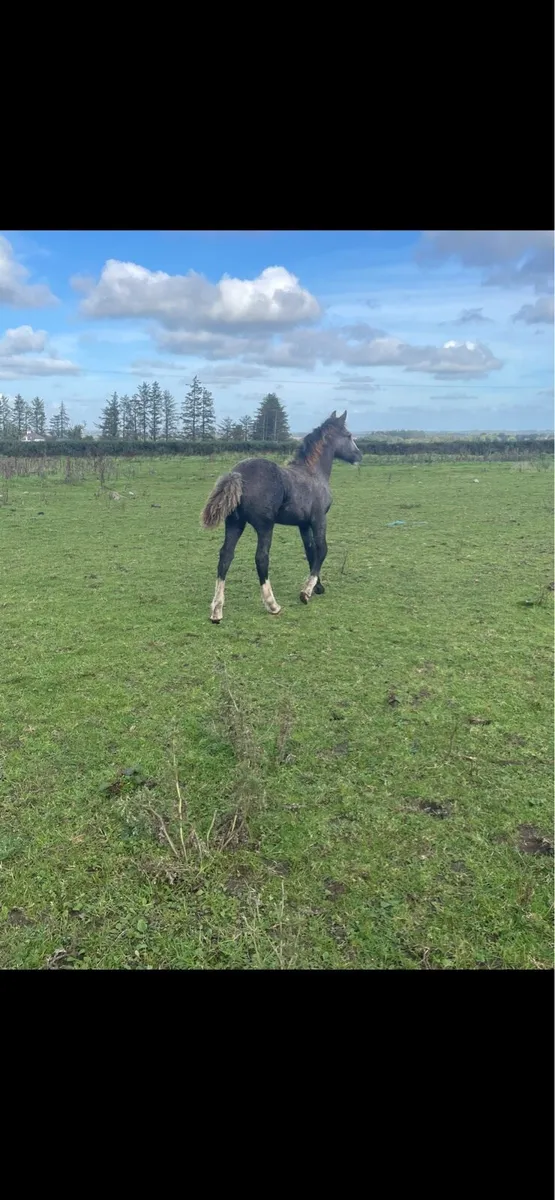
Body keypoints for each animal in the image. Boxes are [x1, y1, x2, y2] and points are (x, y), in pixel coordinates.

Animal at [200, 409, 362, 623]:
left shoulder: (303, 524)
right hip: (265, 526)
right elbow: (322, 549)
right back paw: (272, 605)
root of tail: (238, 474)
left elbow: (310, 551)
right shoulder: (319, 518)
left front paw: (317, 587)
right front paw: (306, 592)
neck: (313, 473)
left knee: (225, 556)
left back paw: (217, 610)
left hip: (235, 523)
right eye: (349, 435)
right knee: (261, 558)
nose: (359, 455)